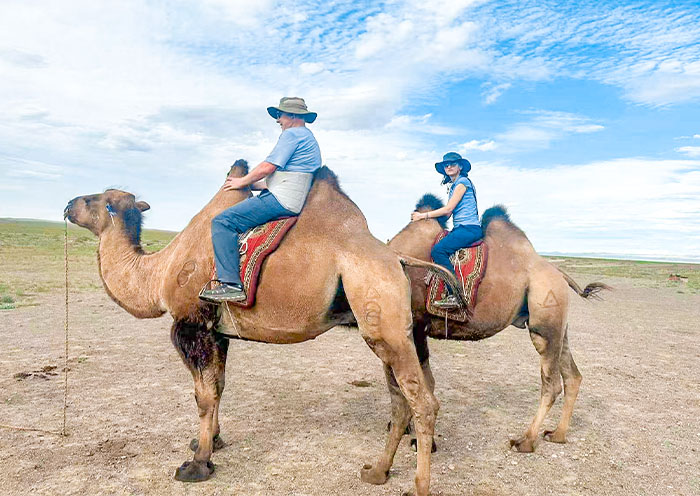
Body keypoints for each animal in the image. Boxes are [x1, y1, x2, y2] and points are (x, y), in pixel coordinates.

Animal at [63, 165, 439, 496]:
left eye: (94, 199)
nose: (67, 204)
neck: (158, 273)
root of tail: (398, 260)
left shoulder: (191, 324)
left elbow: (203, 396)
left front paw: (197, 464)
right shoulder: (217, 332)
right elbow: (218, 387)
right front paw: (210, 441)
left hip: (383, 311)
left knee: (422, 402)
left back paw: (419, 485)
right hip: (390, 332)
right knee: (400, 400)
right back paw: (377, 472)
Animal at [388, 194, 609, 453]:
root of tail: (558, 273)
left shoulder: (415, 326)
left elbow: (419, 385)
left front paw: (422, 440)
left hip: (545, 319)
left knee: (551, 384)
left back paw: (525, 441)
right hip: (559, 327)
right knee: (572, 376)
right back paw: (557, 435)